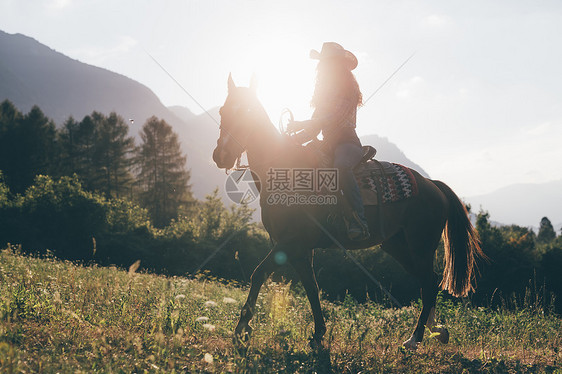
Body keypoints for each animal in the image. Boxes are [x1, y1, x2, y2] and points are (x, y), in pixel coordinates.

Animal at [211, 74, 482, 350]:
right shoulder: (299, 250)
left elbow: (259, 273)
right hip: (397, 245)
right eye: (223, 111)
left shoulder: (291, 242)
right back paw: (435, 330)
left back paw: (414, 339)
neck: (285, 170)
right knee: (427, 282)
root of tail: (432, 185)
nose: (221, 155)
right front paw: (318, 333)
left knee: (428, 284)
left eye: (247, 112)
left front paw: (242, 328)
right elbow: (311, 288)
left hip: (420, 245)